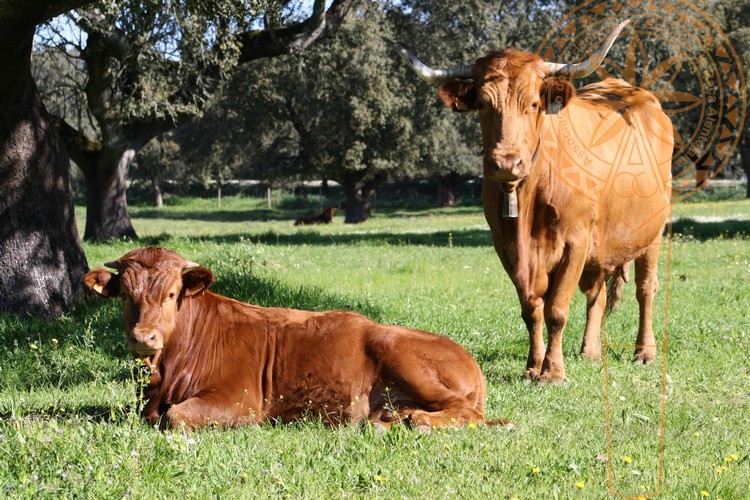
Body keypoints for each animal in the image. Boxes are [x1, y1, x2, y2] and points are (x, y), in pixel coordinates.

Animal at [86, 246, 506, 430]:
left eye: (172, 293)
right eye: (125, 295)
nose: (144, 337)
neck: (166, 373)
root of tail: (469, 358)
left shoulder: (239, 402)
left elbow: (174, 417)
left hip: (402, 355)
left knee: (467, 412)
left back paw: (416, 420)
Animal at [390, 17, 672, 380]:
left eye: (534, 105)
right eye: (483, 105)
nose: (507, 162)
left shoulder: (575, 242)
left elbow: (556, 309)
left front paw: (552, 373)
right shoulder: (507, 246)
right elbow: (531, 309)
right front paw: (532, 367)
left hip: (653, 231)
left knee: (645, 288)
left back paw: (644, 352)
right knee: (596, 293)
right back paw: (590, 351)